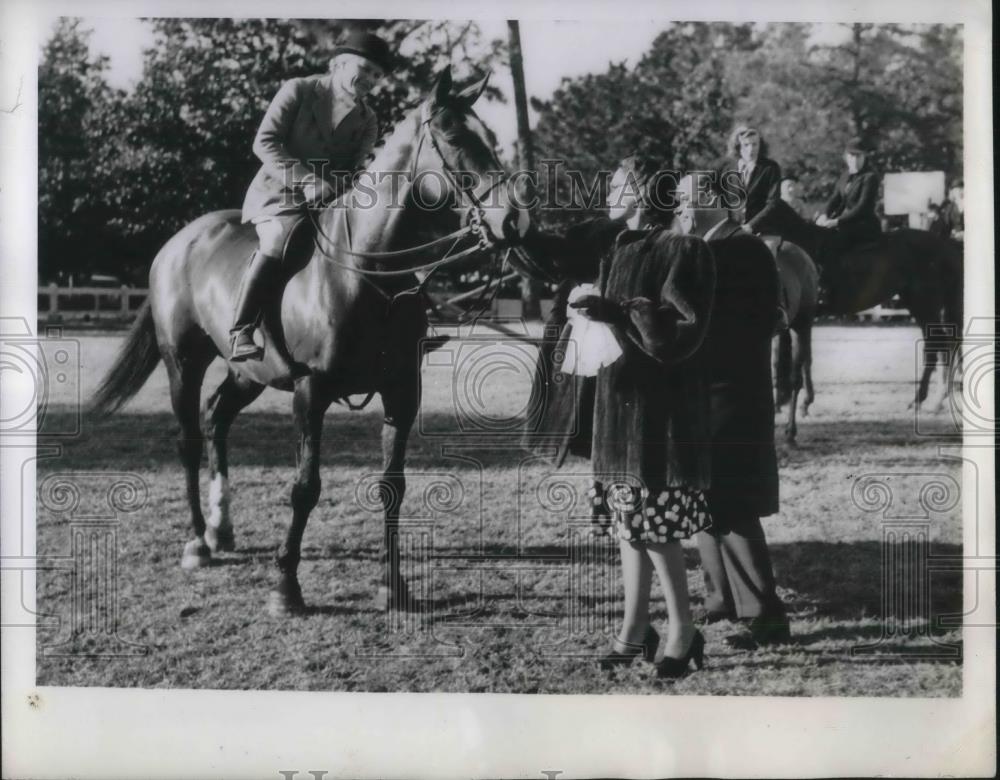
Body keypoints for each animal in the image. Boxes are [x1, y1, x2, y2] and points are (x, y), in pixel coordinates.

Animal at [92, 67, 532, 616]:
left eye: (490, 136)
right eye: (453, 136)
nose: (513, 221)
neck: (366, 271)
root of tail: (179, 240)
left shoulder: (402, 394)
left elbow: (393, 485)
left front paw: (393, 585)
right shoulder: (310, 392)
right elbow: (305, 487)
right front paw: (286, 587)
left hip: (248, 373)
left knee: (217, 418)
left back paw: (221, 529)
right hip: (183, 363)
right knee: (189, 438)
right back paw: (197, 542)